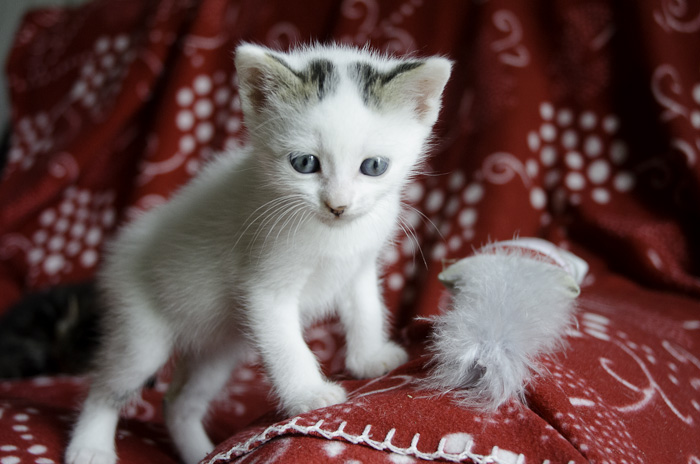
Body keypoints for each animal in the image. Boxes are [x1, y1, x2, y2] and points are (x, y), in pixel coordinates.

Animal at [64, 43, 448, 464]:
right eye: (305, 163)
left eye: (374, 166)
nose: (338, 206)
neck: (334, 236)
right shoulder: (264, 289)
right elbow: (286, 345)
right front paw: (309, 395)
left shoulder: (359, 266)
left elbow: (366, 308)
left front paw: (369, 357)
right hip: (139, 331)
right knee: (107, 385)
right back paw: (90, 447)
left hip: (217, 348)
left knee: (178, 401)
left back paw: (201, 453)